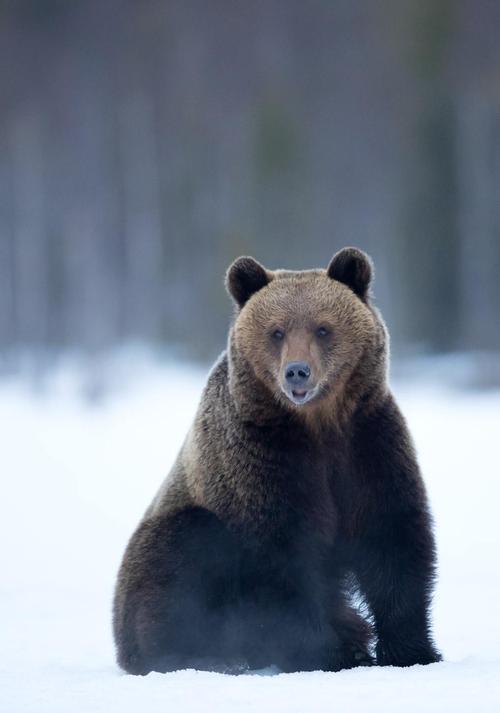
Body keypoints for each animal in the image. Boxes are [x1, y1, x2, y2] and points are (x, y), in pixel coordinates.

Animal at [113, 249, 442, 672]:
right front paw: (330, 650)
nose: (297, 372)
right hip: (163, 548)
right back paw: (204, 655)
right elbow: (284, 558)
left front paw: (411, 651)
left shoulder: (368, 445)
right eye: (277, 332)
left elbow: (393, 539)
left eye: (322, 328)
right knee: (184, 549)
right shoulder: (262, 460)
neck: (317, 425)